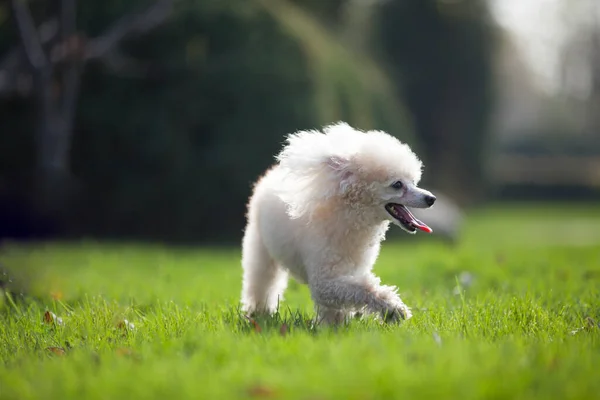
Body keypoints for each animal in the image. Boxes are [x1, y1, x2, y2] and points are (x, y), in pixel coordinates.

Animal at [240, 122, 436, 324]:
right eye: (397, 184)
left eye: (413, 181)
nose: (431, 198)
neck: (349, 214)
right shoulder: (324, 279)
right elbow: (362, 288)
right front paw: (394, 309)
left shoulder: (350, 270)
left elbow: (339, 301)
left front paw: (333, 325)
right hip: (259, 246)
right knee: (262, 280)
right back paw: (259, 312)